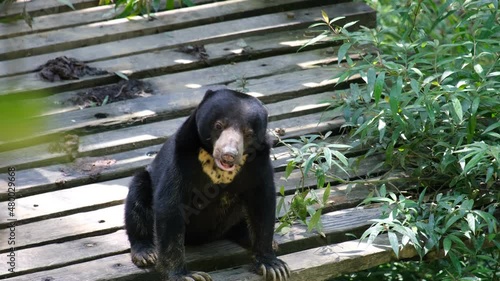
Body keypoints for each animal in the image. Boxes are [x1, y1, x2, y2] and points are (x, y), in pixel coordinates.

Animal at [125, 88, 290, 280]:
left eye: (248, 133)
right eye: (218, 125)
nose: (229, 155)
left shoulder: (259, 163)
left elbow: (262, 203)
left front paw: (273, 265)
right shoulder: (181, 158)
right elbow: (170, 207)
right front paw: (185, 275)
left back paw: (260, 239)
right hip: (145, 182)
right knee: (137, 197)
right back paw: (145, 252)